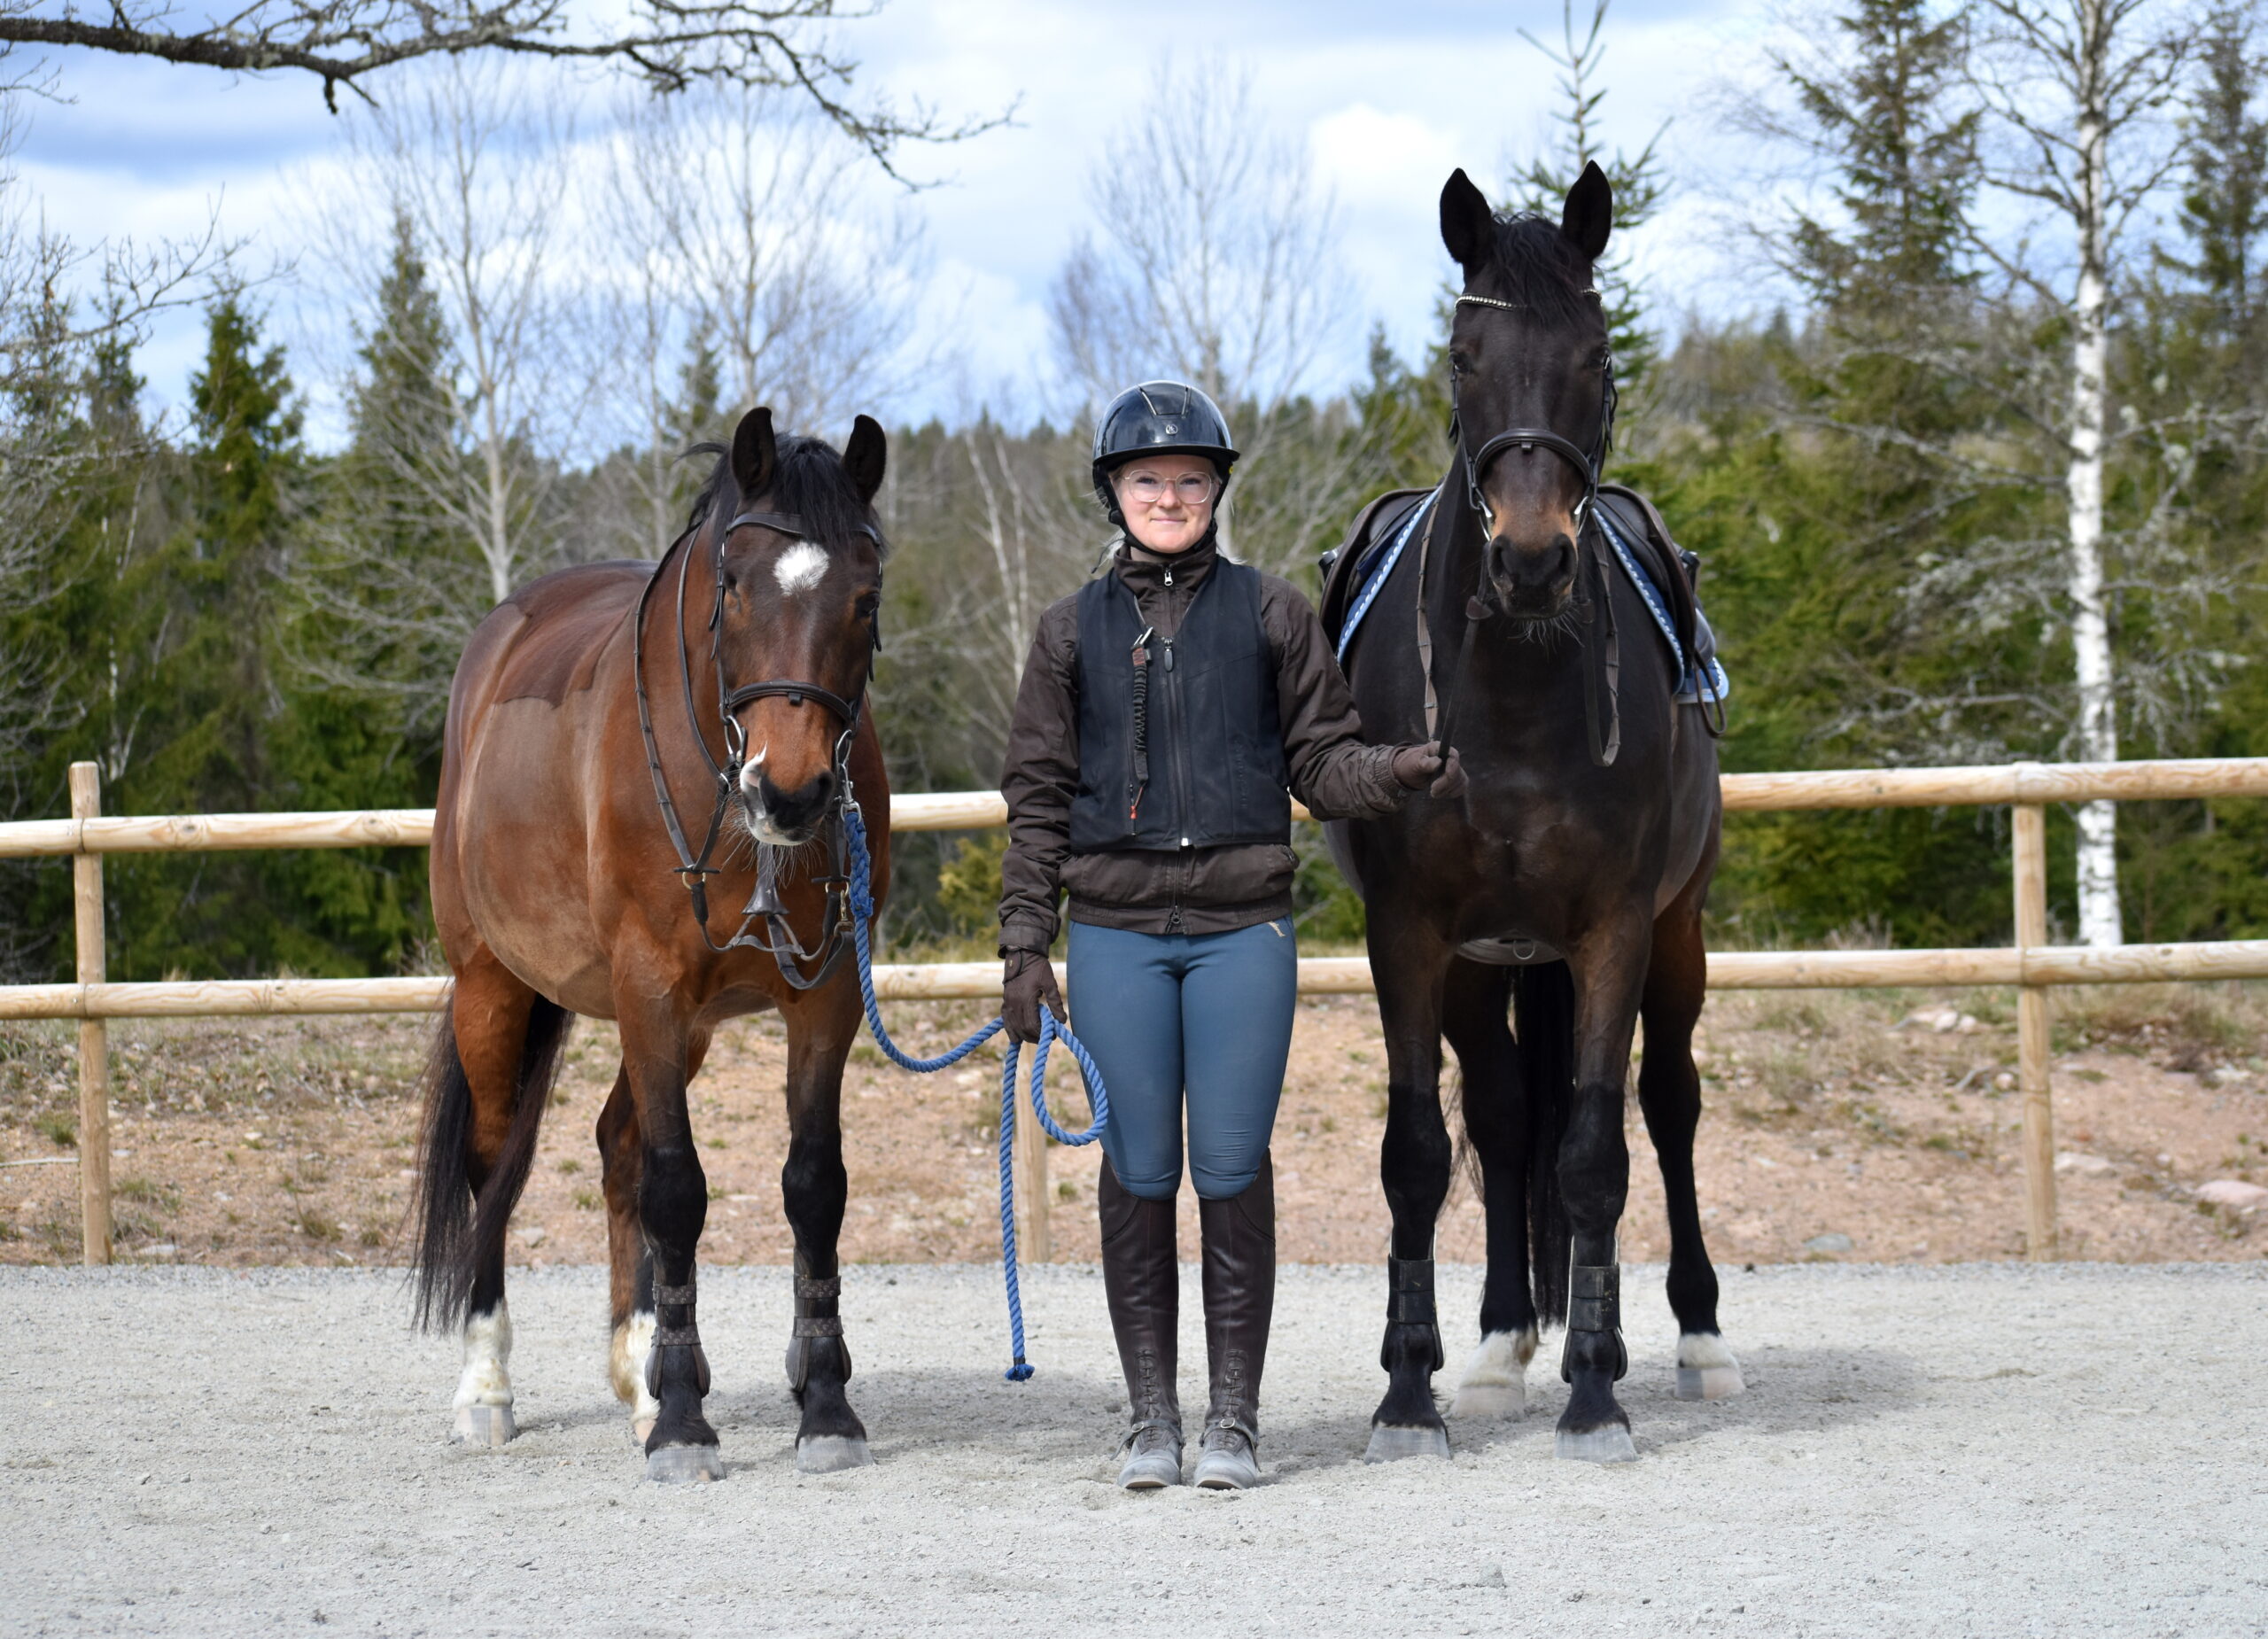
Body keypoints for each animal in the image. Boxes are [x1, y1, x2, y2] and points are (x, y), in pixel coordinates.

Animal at [410, 405, 892, 1482]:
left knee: (615, 1146)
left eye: (865, 591)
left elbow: (815, 1185)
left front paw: (824, 1404)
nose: (789, 792)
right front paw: (682, 1424)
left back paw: (636, 1372)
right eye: (733, 584)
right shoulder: (650, 986)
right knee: (496, 1164)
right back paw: (487, 1388)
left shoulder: (824, 997)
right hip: (493, 985)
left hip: (684, 1024)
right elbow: (678, 1189)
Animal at [1321, 164, 1742, 1464]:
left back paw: (1699, 1338)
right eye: (1464, 356)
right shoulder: (1407, 933)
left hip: (1677, 932)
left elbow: (1598, 1152)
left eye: (1597, 356)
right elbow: (1418, 1153)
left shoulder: (1613, 926)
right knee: (1505, 1115)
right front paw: (1408, 1392)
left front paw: (1596, 1389)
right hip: (1481, 960)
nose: (1535, 562)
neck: (1511, 686)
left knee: (1671, 1106)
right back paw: (1502, 1341)